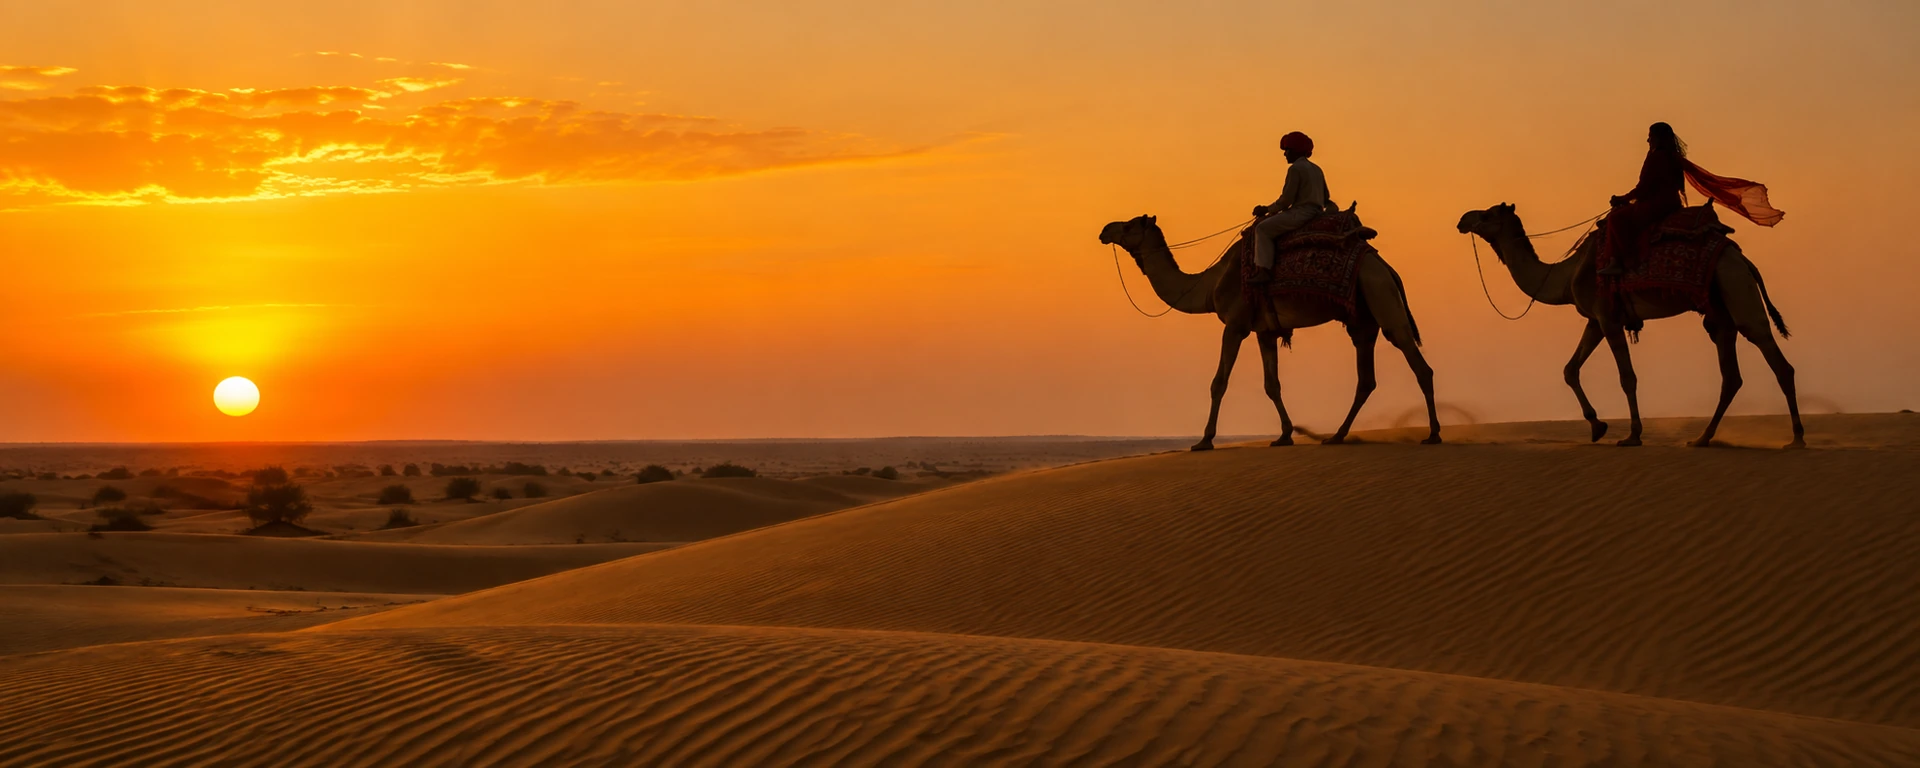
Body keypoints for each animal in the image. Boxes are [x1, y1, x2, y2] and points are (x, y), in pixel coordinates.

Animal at [1099, 215, 1440, 449]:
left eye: (1129, 225)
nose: (1105, 230)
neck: (1209, 285)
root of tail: (1386, 268)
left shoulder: (1235, 325)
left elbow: (1218, 383)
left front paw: (1204, 441)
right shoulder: (1265, 331)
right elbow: (1271, 384)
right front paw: (1285, 435)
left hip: (1380, 296)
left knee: (1419, 365)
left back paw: (1434, 434)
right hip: (1363, 320)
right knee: (1366, 379)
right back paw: (1336, 436)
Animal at [1456, 203, 1803, 448]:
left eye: (1486, 214)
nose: (1462, 219)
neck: (1566, 276)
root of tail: (1743, 259)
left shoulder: (1609, 319)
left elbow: (1627, 377)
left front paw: (1633, 435)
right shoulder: (1595, 320)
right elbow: (1570, 369)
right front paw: (1598, 427)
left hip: (1737, 290)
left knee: (1777, 361)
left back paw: (1797, 438)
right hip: (1720, 313)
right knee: (1731, 375)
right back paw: (1702, 438)